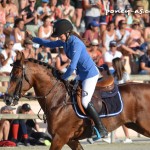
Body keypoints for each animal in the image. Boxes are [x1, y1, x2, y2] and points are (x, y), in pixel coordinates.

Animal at [3, 51, 150, 149]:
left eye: (15, 76)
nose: (7, 99)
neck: (59, 99)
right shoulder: (71, 140)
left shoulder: (60, 138)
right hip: (136, 125)